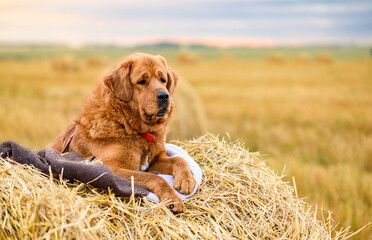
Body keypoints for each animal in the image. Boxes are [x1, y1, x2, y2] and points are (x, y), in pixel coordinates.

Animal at [53, 53, 198, 212]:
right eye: (142, 81)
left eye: (163, 80)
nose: (164, 96)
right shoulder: (110, 168)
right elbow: (154, 177)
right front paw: (172, 198)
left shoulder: (155, 160)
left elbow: (180, 159)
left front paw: (186, 179)